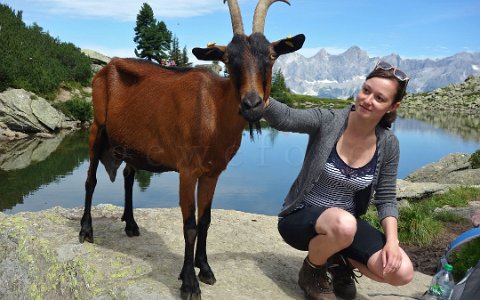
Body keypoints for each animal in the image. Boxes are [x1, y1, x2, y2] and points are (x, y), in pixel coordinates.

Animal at [79, 1, 304, 298]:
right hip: (97, 128)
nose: (252, 104)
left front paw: (205, 269)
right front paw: (189, 282)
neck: (214, 111)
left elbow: (205, 220)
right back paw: (86, 231)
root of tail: (107, 67)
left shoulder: (212, 173)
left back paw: (131, 224)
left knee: (128, 176)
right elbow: (189, 225)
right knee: (90, 180)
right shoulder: (187, 171)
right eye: (228, 59)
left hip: (132, 144)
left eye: (271, 55)